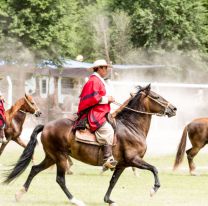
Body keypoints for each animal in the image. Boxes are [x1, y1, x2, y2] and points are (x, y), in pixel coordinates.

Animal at [3, 84, 176, 205]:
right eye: (156, 96)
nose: (174, 108)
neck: (130, 126)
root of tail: (46, 125)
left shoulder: (122, 164)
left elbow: (113, 181)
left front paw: (108, 200)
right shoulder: (134, 160)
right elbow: (154, 169)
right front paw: (153, 189)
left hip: (51, 157)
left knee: (34, 169)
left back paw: (20, 193)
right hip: (60, 157)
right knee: (60, 179)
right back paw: (75, 200)